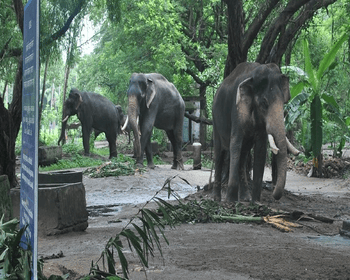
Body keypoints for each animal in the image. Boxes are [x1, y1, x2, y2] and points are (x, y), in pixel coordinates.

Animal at [212, 63, 300, 203]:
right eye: (264, 103)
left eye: (283, 103)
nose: (273, 193)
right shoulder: (237, 110)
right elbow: (235, 144)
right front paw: (230, 201)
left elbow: (260, 149)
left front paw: (256, 202)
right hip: (215, 119)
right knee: (219, 153)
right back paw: (216, 198)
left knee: (243, 155)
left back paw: (245, 198)